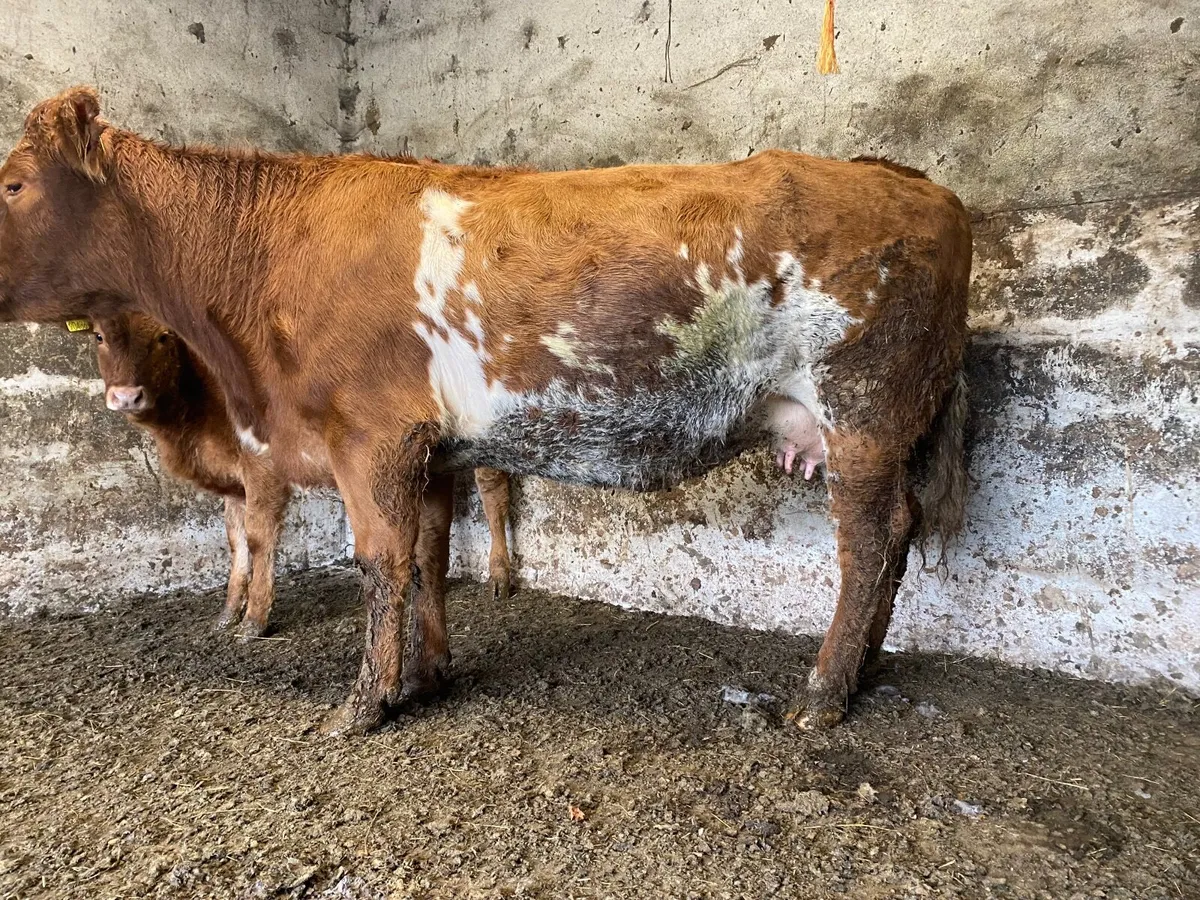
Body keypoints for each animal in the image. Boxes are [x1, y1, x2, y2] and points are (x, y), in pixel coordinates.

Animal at [89, 310, 515, 639]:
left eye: (162, 338)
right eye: (99, 336)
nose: (126, 396)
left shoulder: (262, 470)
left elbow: (258, 539)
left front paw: (255, 618)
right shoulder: (234, 485)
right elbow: (235, 542)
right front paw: (228, 612)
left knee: (492, 489)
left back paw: (499, 576)